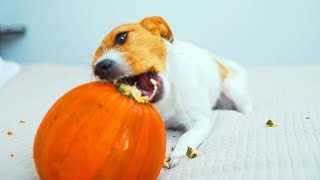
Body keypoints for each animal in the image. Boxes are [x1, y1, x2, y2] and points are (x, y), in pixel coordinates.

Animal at [92, 16, 252, 167]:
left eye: (121, 37)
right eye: (94, 64)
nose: (100, 68)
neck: (167, 99)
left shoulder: (201, 122)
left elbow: (186, 138)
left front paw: (178, 154)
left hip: (233, 92)